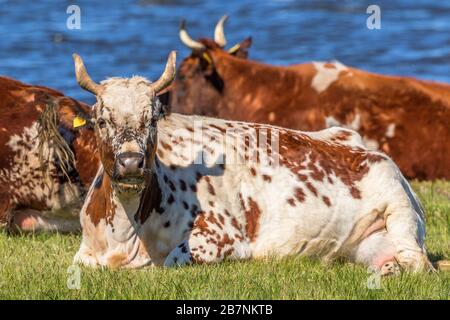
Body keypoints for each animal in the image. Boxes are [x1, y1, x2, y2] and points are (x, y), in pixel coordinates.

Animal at [71, 50, 432, 276]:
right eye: (101, 120)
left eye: (152, 120)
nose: (131, 162)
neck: (125, 235)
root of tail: (353, 140)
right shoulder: (85, 252)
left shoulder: (220, 238)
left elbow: (175, 258)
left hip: (398, 209)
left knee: (417, 263)